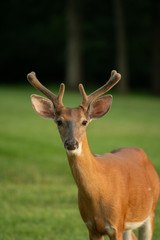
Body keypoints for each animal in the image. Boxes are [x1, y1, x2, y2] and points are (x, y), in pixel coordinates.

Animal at [27, 70, 159, 240]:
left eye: (84, 122)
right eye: (59, 122)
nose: (71, 143)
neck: (100, 190)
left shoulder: (116, 225)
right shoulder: (91, 227)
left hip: (150, 211)